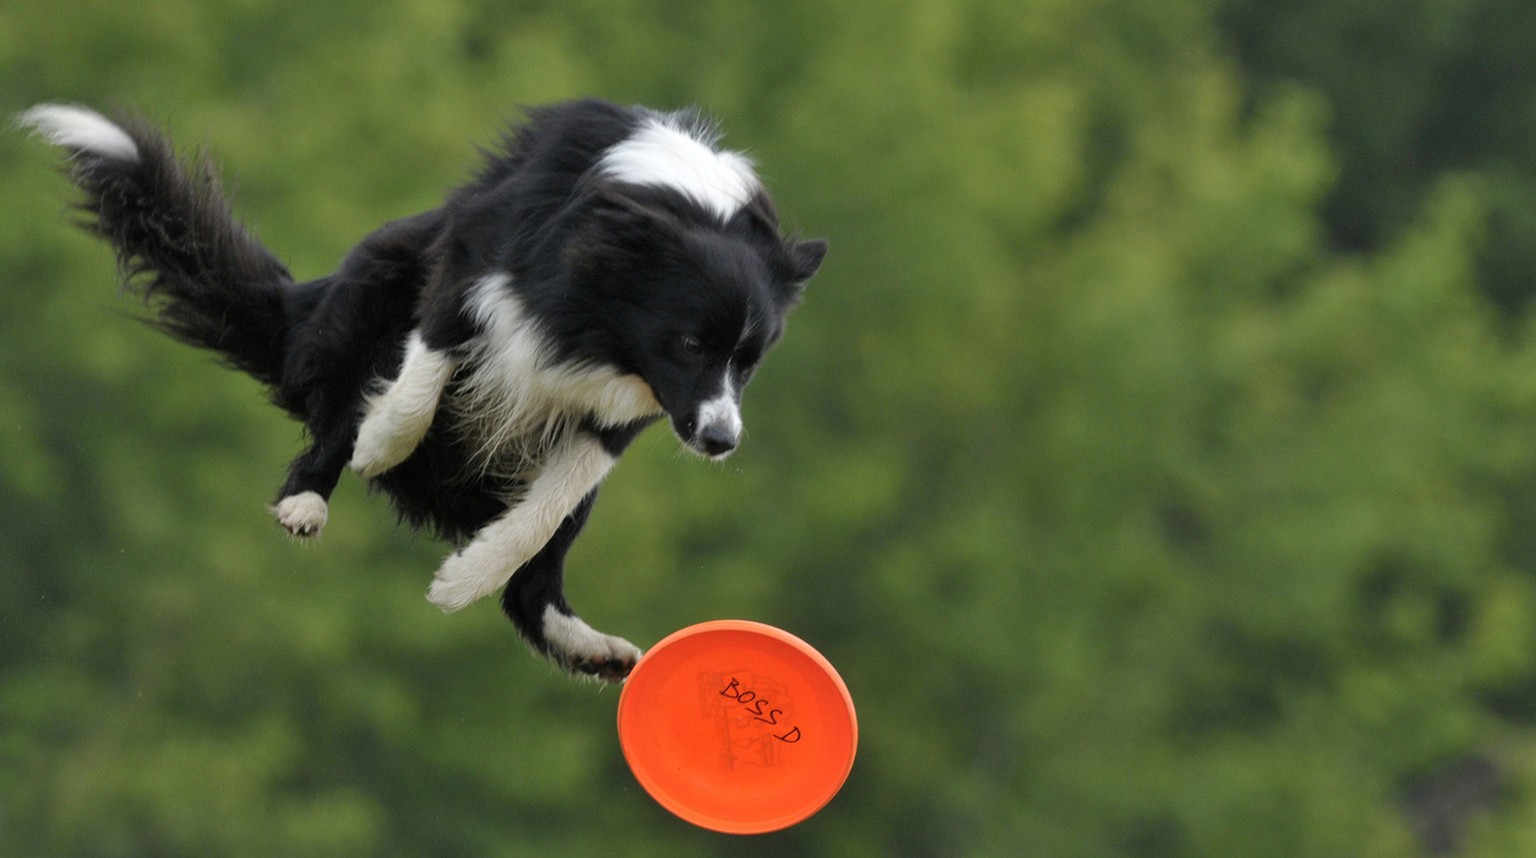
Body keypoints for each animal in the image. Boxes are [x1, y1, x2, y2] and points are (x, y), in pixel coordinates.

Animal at [18, 100, 829, 681]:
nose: (720, 441)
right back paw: (309, 499)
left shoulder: (625, 404)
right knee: (334, 421)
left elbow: (540, 516)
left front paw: (461, 582)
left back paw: (590, 648)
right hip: (377, 280)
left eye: (749, 361)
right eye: (691, 343)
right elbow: (425, 367)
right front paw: (381, 443)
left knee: (538, 575)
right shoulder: (474, 260)